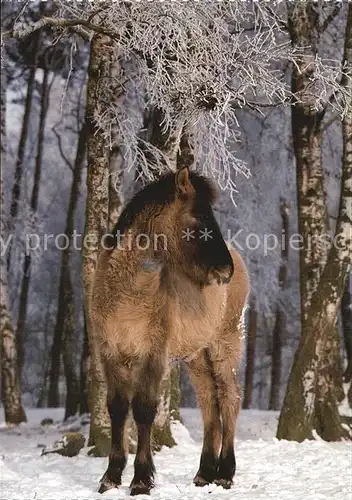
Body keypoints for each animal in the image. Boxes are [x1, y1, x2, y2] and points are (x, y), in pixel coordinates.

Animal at [91, 167, 250, 496]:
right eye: (198, 219)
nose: (224, 270)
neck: (127, 293)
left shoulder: (153, 355)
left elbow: (143, 409)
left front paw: (141, 479)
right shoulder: (110, 353)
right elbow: (117, 408)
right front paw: (111, 477)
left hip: (227, 343)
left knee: (229, 398)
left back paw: (225, 473)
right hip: (196, 356)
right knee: (208, 402)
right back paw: (204, 473)